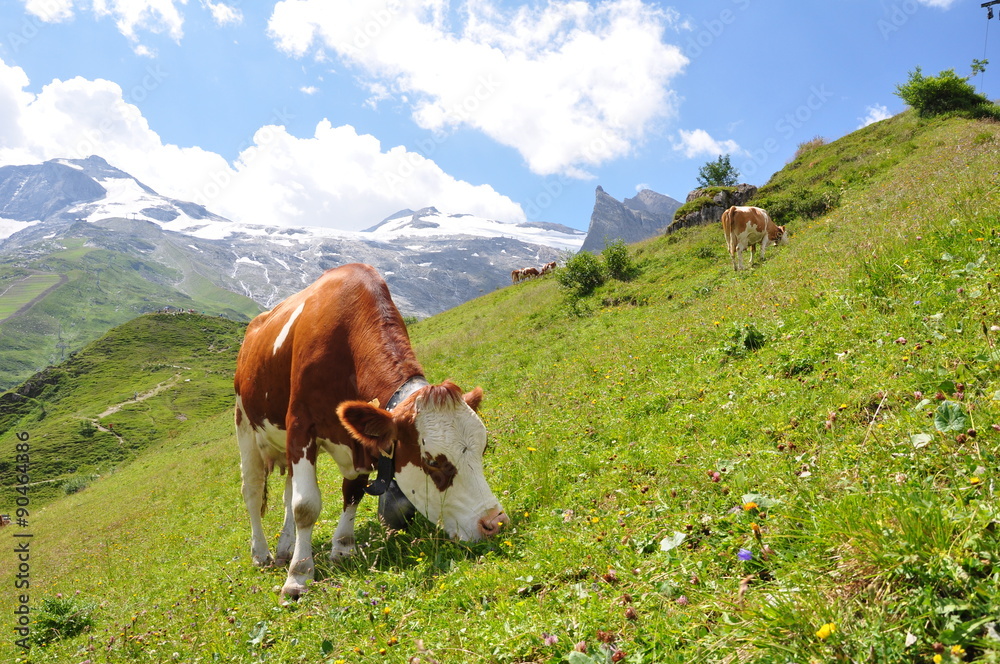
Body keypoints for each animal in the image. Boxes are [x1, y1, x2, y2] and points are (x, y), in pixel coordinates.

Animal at [230, 264, 504, 596]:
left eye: (483, 449)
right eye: (432, 462)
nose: (494, 523)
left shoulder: (358, 440)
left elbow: (353, 492)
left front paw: (342, 548)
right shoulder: (300, 425)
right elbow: (305, 506)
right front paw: (299, 577)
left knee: (287, 493)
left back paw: (285, 547)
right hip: (245, 425)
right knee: (253, 491)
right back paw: (262, 553)